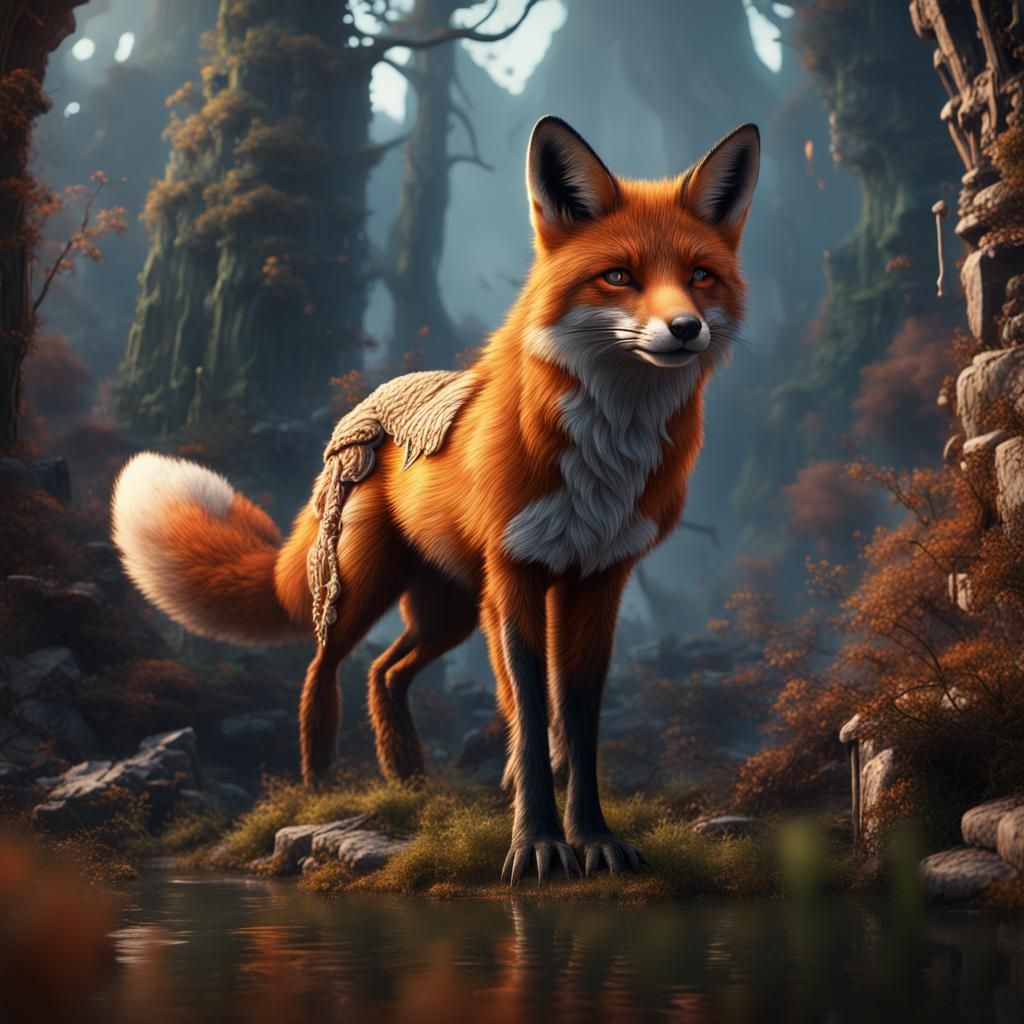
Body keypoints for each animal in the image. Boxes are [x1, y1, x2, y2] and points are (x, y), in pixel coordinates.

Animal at [112, 115, 758, 884]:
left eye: (699, 277)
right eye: (619, 276)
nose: (685, 328)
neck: (603, 457)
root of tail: (359, 412)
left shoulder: (599, 580)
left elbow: (577, 723)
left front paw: (594, 838)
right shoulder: (516, 574)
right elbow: (532, 720)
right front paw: (537, 845)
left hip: (450, 607)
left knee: (387, 673)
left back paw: (410, 778)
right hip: (367, 589)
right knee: (322, 669)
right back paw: (319, 784)